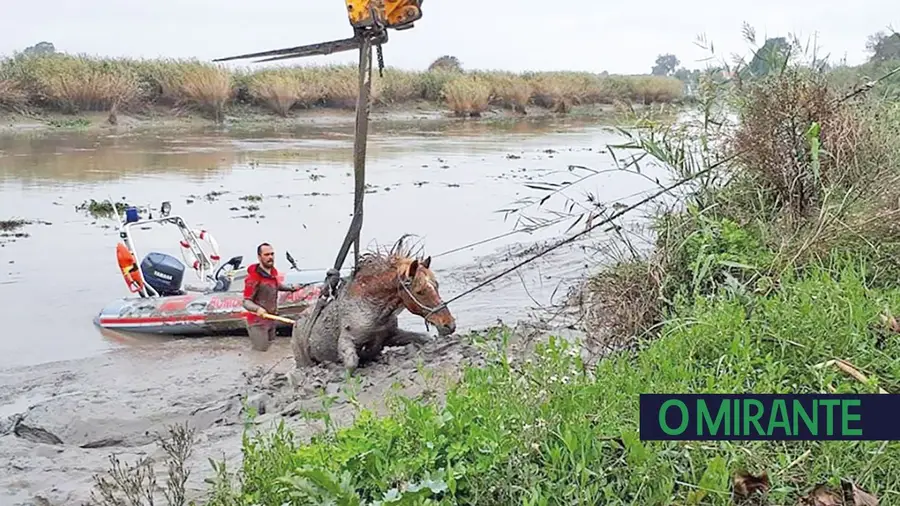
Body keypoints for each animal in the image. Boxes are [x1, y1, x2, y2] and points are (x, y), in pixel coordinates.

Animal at [290, 235, 458, 374]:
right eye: (420, 291)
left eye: (436, 285)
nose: (449, 324)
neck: (372, 308)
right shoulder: (346, 340)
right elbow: (351, 363)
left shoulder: (391, 335)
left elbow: (424, 338)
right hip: (303, 361)